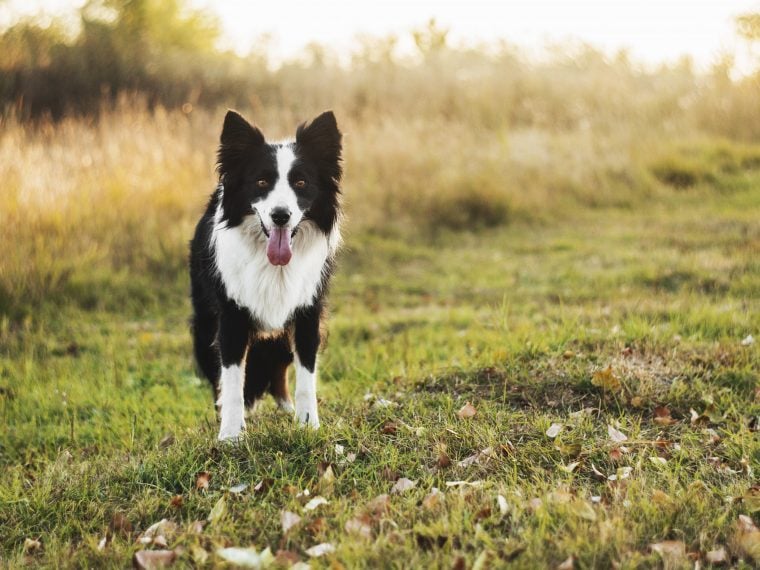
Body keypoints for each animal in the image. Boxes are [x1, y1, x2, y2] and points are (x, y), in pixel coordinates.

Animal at [189, 110, 342, 440]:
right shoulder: (231, 317)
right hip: (203, 328)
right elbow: (233, 379)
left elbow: (306, 375)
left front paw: (308, 424)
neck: (275, 266)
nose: (280, 216)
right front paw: (231, 435)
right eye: (261, 181)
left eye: (301, 182)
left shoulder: (308, 312)